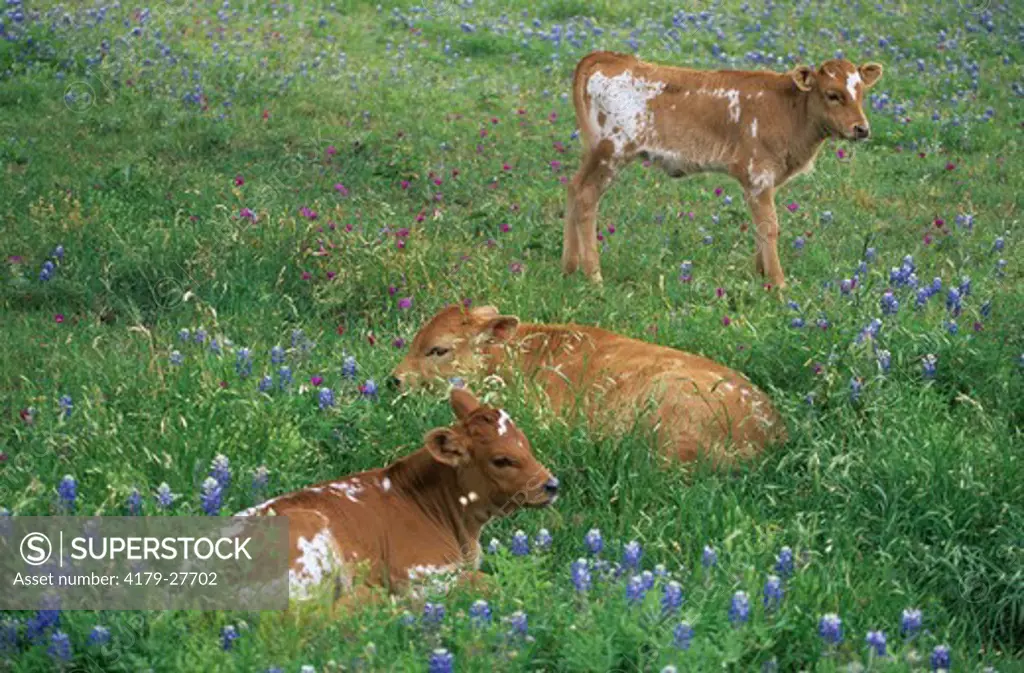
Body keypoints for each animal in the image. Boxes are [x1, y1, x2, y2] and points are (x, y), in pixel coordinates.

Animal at [565, 49, 884, 286]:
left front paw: (761, 275)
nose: (862, 129)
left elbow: (760, 227)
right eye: (832, 94)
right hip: (611, 152)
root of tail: (610, 57)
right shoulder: (757, 175)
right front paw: (778, 285)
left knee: (573, 188)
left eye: (861, 94)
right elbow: (769, 226)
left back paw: (569, 267)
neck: (787, 108)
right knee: (586, 198)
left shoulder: (763, 182)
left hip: (593, 152)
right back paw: (594, 275)